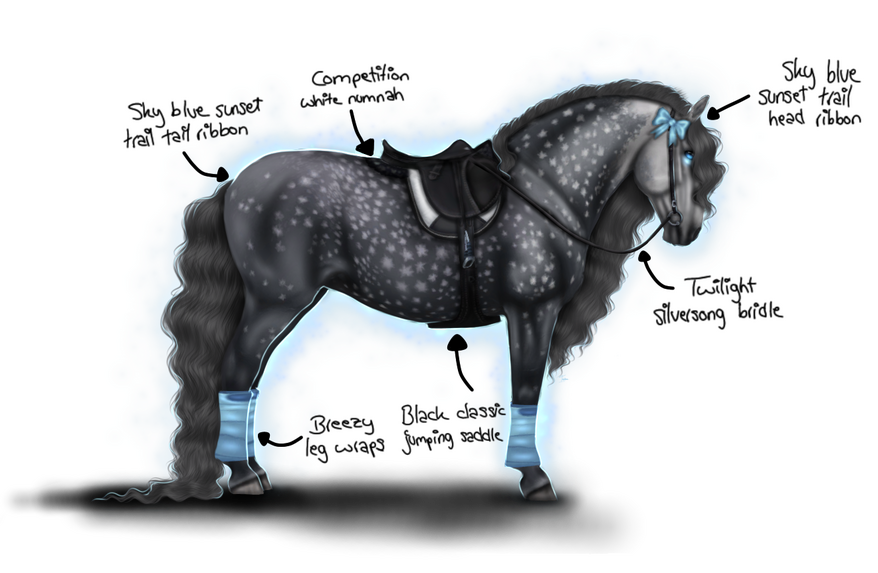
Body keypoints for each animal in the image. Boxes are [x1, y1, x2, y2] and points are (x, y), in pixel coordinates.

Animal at [101, 79, 727, 503]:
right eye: (686, 152)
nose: (691, 225)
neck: (541, 187)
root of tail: (234, 187)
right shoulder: (531, 312)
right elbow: (526, 390)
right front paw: (533, 476)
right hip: (275, 300)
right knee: (234, 371)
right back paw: (245, 474)